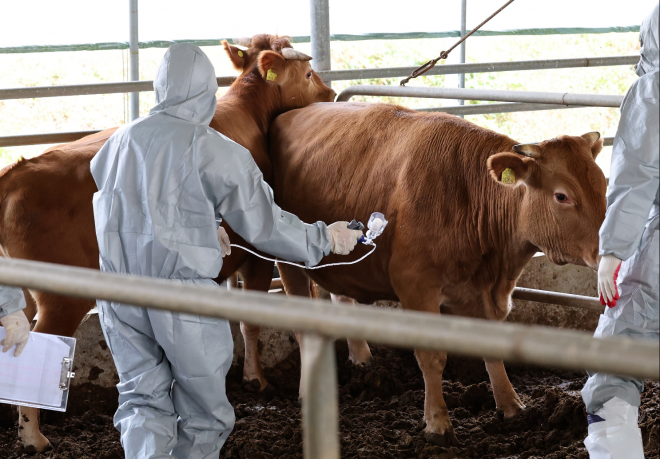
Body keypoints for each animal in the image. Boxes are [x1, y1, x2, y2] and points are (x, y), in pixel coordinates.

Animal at [1, 35, 336, 452]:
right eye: (308, 73)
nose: (331, 93)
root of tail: (17, 171)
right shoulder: (256, 251)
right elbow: (250, 322)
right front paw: (256, 379)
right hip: (61, 299)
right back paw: (34, 436)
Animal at [262, 102, 604, 448]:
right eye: (562, 196)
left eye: (603, 184)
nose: (607, 248)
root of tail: (294, 111)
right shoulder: (416, 285)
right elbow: (432, 356)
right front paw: (437, 424)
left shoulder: (482, 291)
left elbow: (493, 350)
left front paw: (512, 406)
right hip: (287, 259)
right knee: (302, 327)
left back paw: (362, 361)